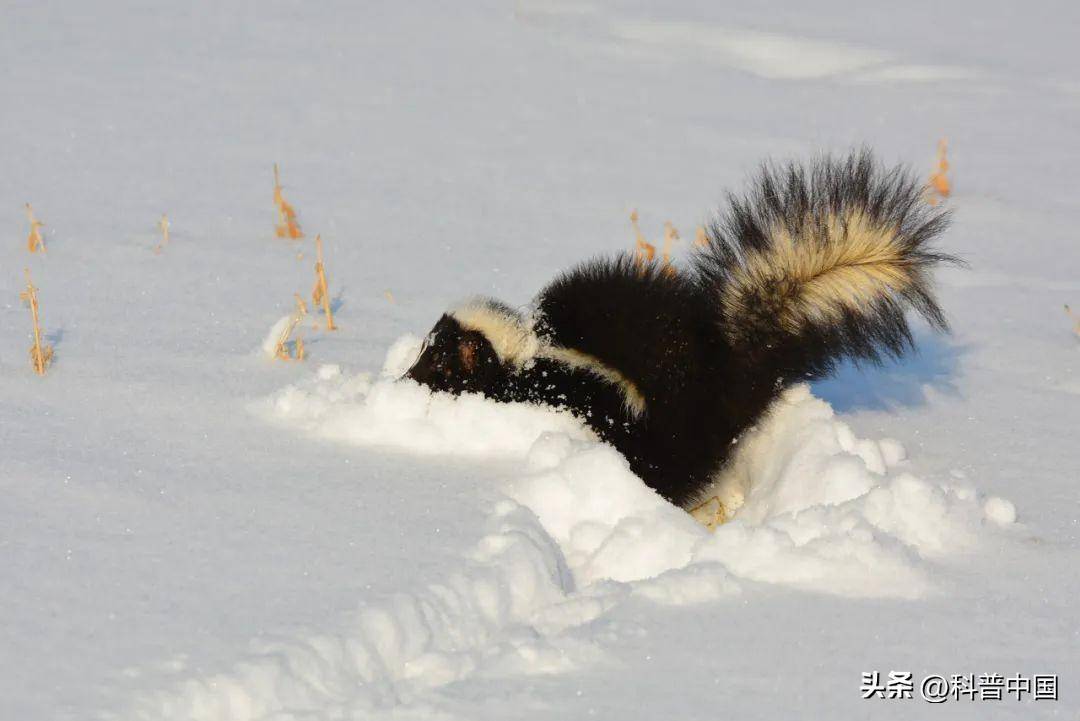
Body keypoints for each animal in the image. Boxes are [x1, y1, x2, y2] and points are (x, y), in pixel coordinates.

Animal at [403, 151, 954, 509]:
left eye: (439, 360)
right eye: (427, 351)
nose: (407, 378)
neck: (526, 354)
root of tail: (718, 383)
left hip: (648, 435)